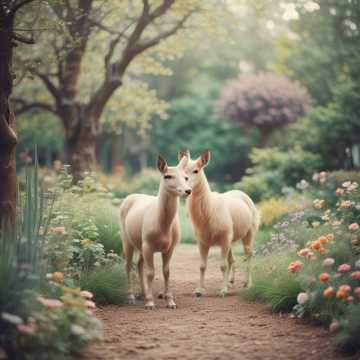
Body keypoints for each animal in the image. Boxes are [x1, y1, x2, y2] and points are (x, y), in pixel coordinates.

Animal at [119, 155, 191, 310]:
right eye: (167, 176)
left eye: (186, 177)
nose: (188, 191)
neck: (163, 228)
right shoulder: (148, 244)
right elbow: (151, 272)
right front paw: (150, 303)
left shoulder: (170, 247)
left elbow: (166, 271)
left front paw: (170, 302)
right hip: (126, 238)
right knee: (128, 264)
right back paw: (131, 297)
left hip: (140, 242)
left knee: (139, 264)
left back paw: (143, 293)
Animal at [179, 150, 258, 296]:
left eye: (196, 170)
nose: (186, 190)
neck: (208, 212)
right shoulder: (202, 240)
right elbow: (202, 266)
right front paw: (199, 290)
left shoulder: (225, 236)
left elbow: (222, 265)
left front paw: (222, 291)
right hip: (231, 237)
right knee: (232, 259)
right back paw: (231, 282)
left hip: (250, 231)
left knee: (249, 254)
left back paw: (247, 284)